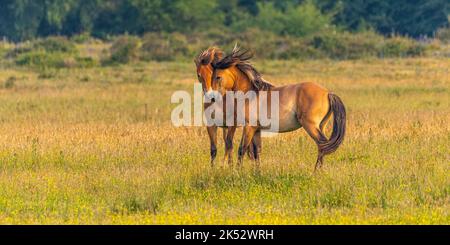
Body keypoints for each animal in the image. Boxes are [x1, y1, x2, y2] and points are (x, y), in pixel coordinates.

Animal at [211, 47, 348, 171]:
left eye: (218, 77)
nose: (212, 98)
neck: (251, 94)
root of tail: (327, 93)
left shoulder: (249, 127)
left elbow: (242, 149)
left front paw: (237, 172)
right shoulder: (257, 130)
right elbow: (257, 152)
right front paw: (257, 173)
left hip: (310, 126)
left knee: (322, 144)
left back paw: (316, 171)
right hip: (321, 125)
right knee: (323, 145)